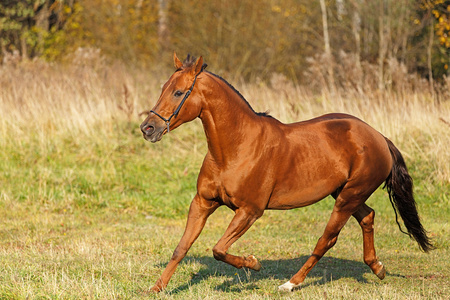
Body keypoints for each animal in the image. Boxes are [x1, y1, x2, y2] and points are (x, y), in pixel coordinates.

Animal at [140, 54, 432, 292]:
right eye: (163, 89)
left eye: (179, 93)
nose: (148, 128)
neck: (235, 148)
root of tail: (379, 137)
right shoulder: (203, 202)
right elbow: (181, 248)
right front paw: (156, 288)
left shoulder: (250, 211)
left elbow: (219, 249)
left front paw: (253, 263)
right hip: (346, 194)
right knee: (368, 217)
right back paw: (377, 267)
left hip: (347, 198)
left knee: (327, 239)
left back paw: (290, 284)